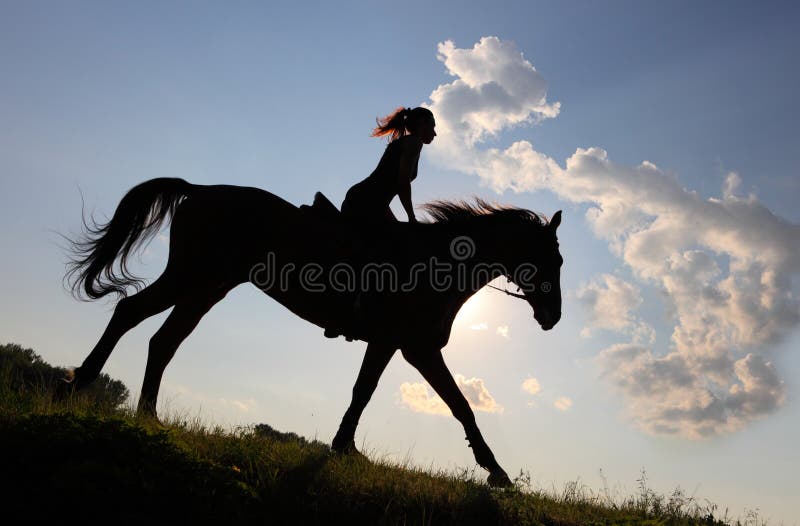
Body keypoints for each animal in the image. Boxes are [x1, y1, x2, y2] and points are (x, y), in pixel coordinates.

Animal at [64, 179, 564, 488]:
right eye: (552, 260)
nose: (553, 318)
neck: (440, 263)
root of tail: (199, 191)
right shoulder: (413, 347)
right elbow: (457, 405)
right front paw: (497, 473)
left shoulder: (393, 345)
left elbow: (367, 392)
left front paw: (345, 447)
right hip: (194, 276)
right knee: (130, 313)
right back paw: (83, 382)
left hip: (208, 287)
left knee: (161, 339)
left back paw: (146, 413)